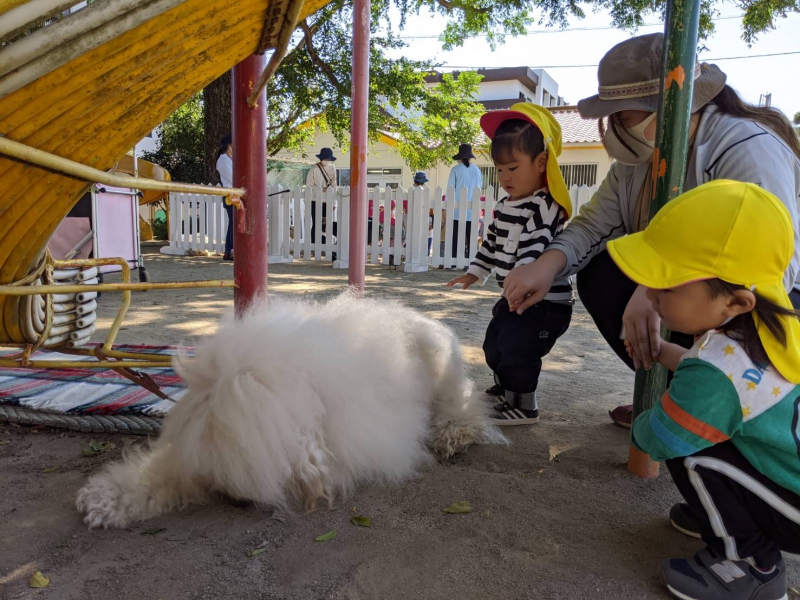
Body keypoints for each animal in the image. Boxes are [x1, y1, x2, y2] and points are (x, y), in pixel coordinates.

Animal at [76, 292, 505, 528]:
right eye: (215, 467)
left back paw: (453, 434)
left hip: (444, 369)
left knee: (464, 406)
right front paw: (107, 499)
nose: (230, 497)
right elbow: (162, 473)